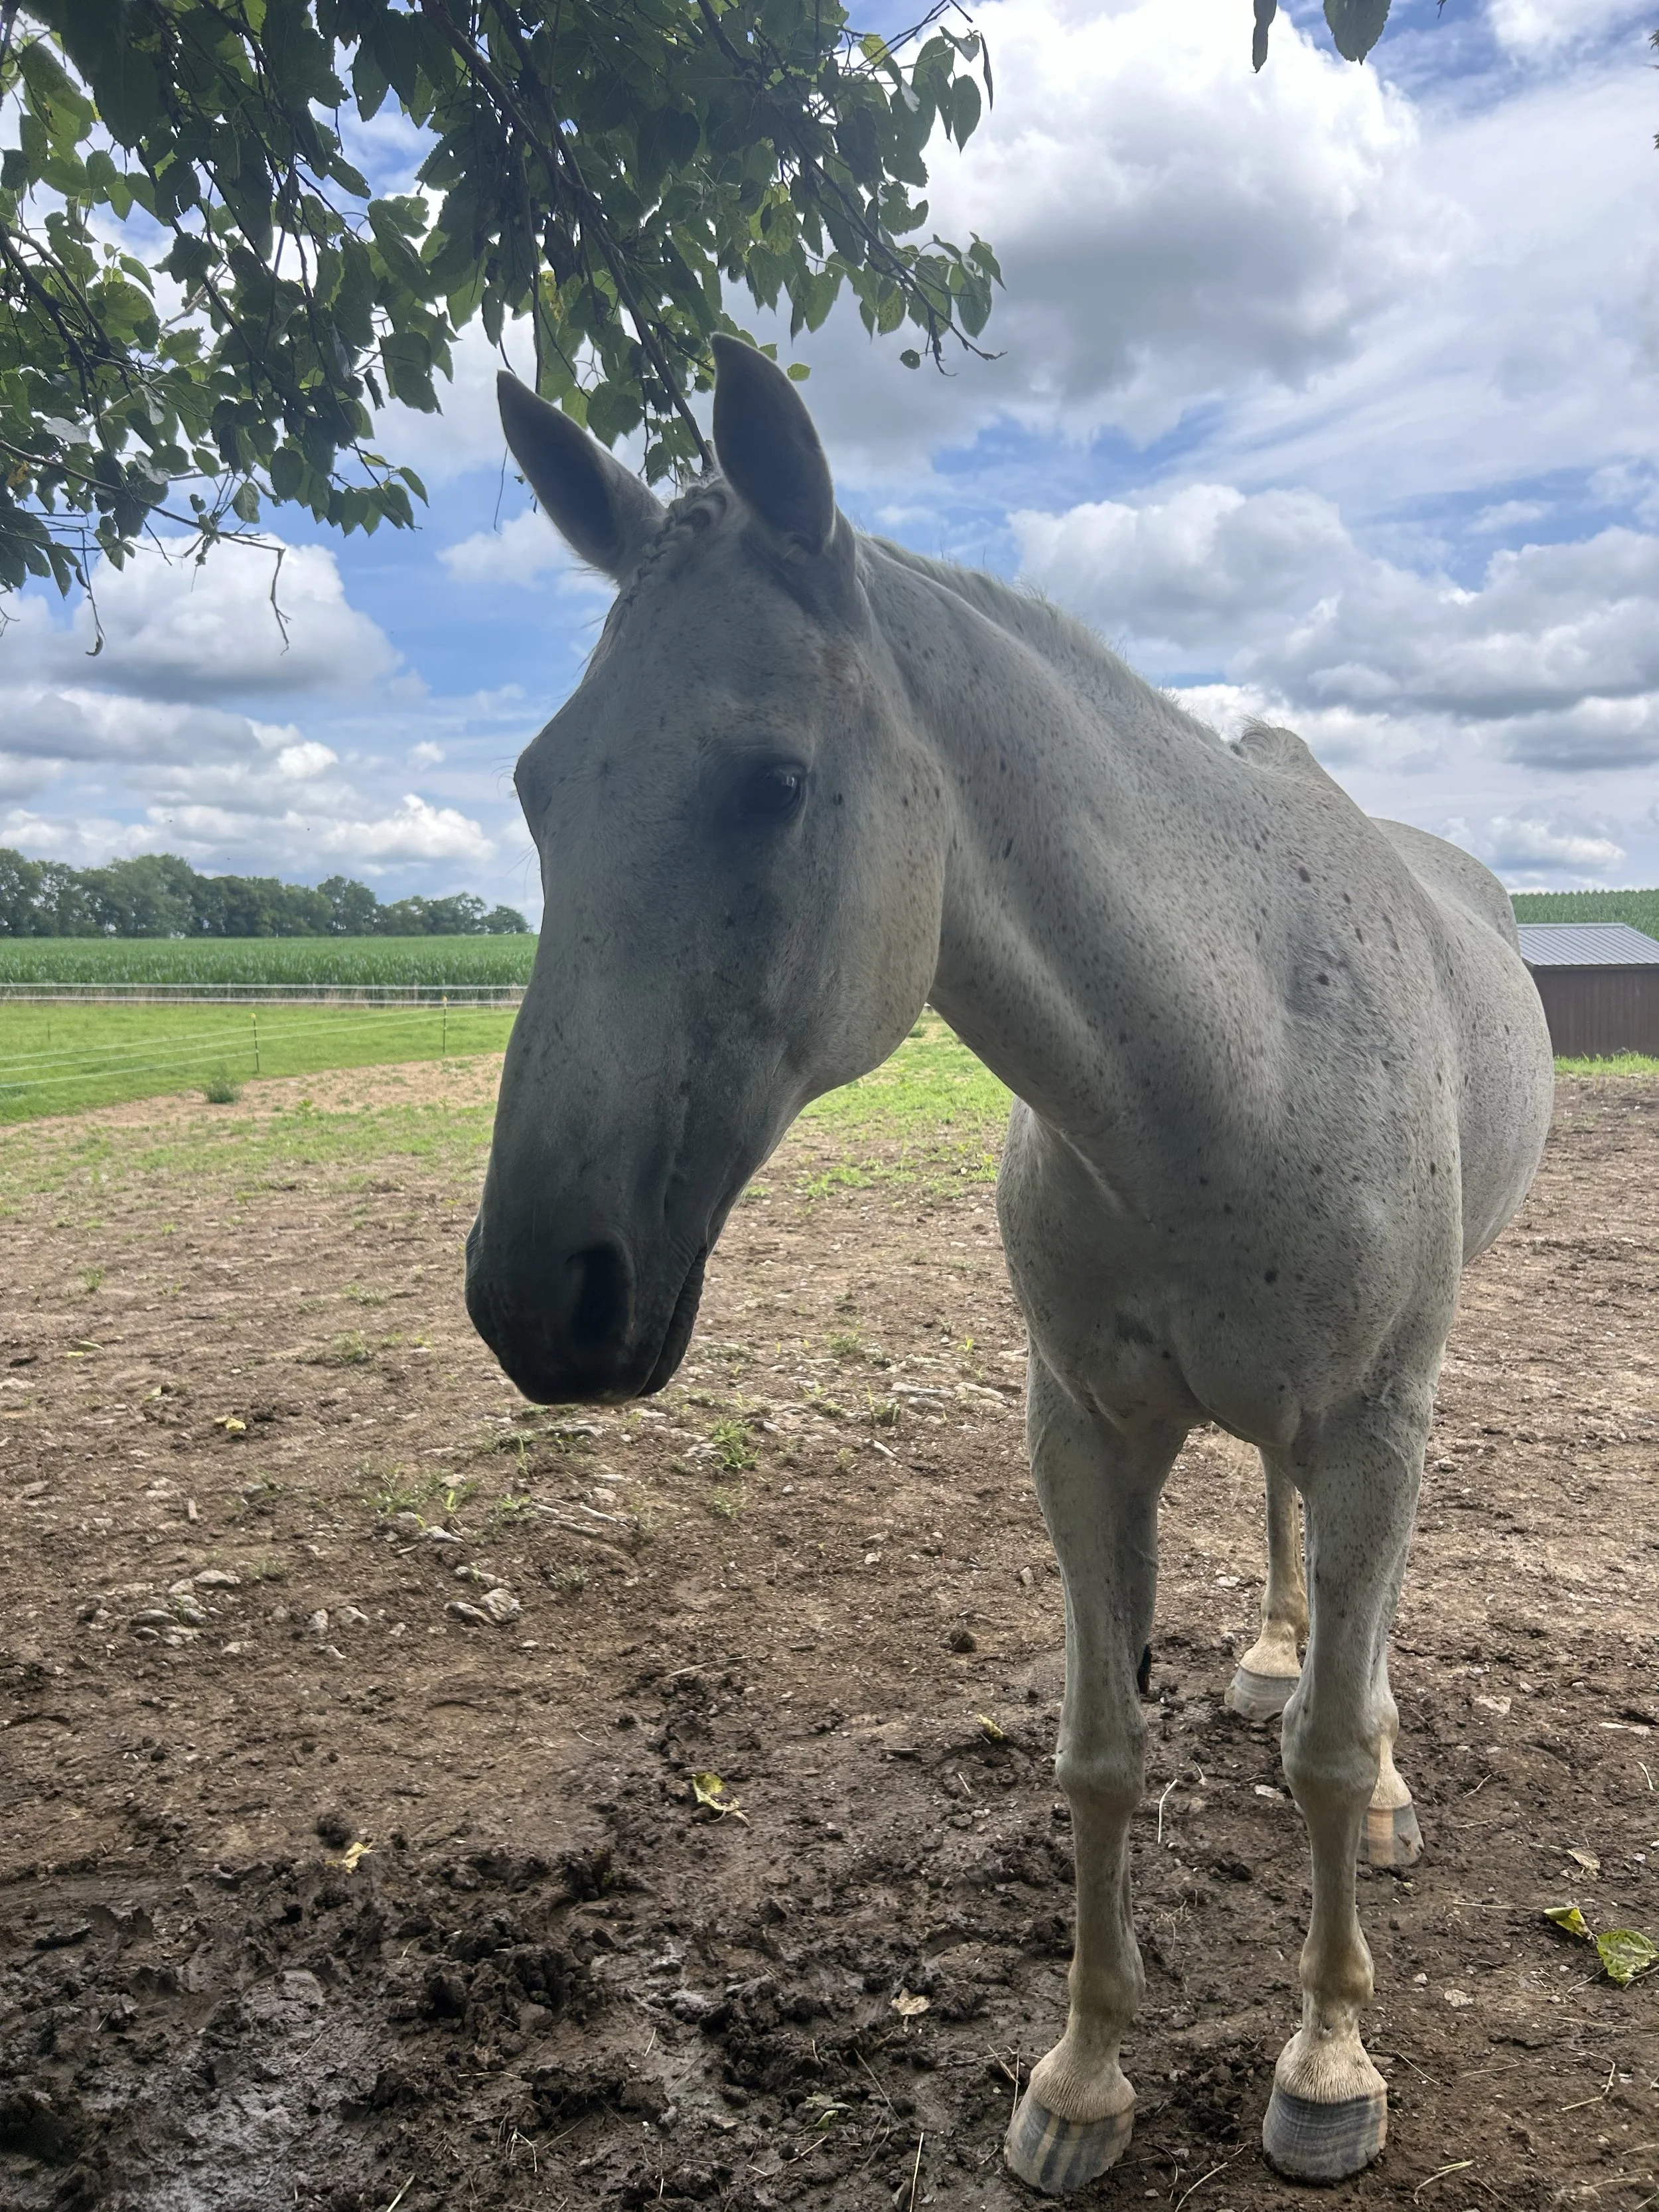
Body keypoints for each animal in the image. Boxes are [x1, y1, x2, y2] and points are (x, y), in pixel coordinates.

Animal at [465, 338, 1554, 2195]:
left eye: (770, 780)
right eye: (543, 786)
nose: (538, 1294)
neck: (1227, 1055)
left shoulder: (1371, 1423)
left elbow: (1330, 1759)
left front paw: (1327, 2057)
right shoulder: (1082, 1431)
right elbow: (1100, 1756)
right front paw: (1081, 2077)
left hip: (1396, 1404)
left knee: (1360, 1631)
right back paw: (1273, 1646)